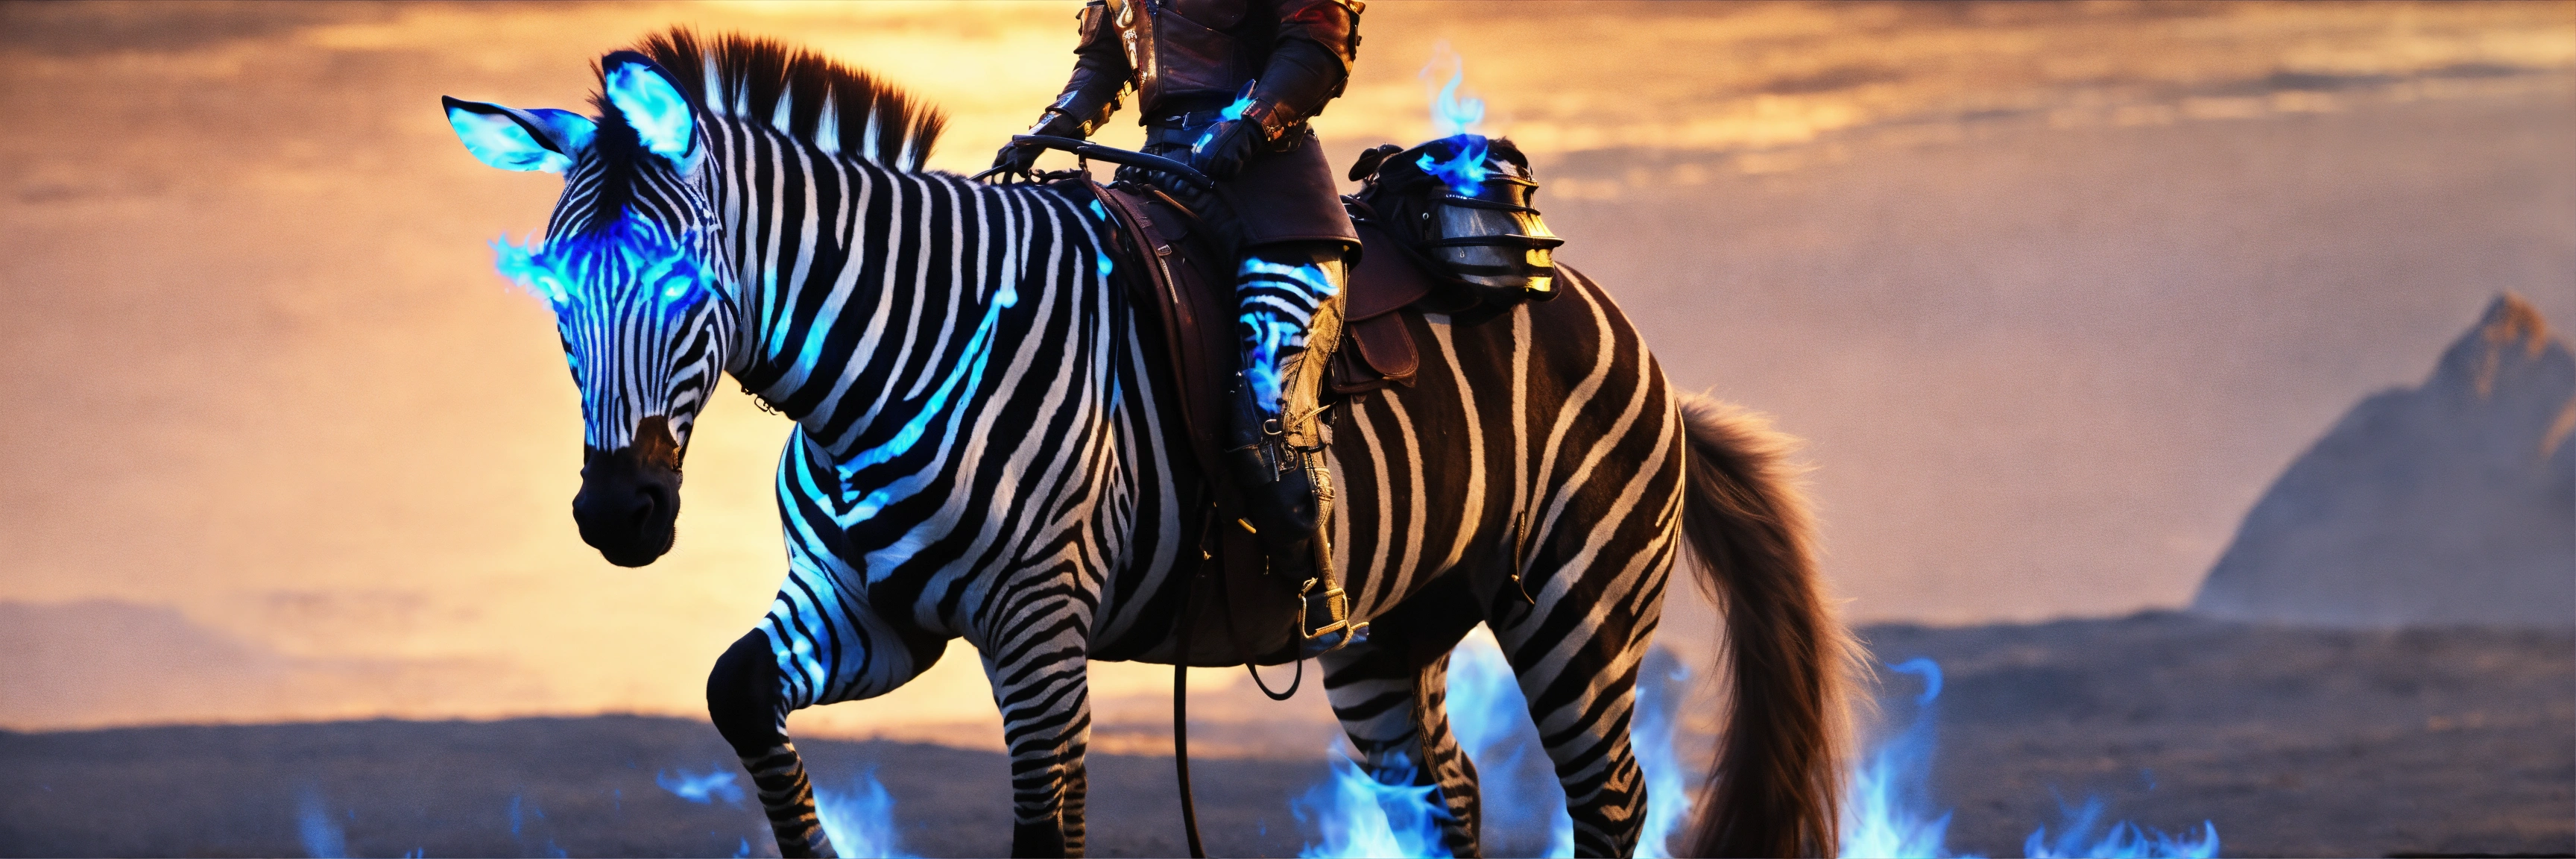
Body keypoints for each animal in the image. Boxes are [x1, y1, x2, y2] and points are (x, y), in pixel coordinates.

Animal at [441, 30, 1855, 859]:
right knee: (1446, 796)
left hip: (1576, 595)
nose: (619, 518)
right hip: (1384, 632)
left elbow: (1047, 826)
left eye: (685, 284)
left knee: (1610, 800)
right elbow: (740, 697)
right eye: (554, 292)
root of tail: (1604, 315)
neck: (897, 359)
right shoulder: (864, 614)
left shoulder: (1038, 625)